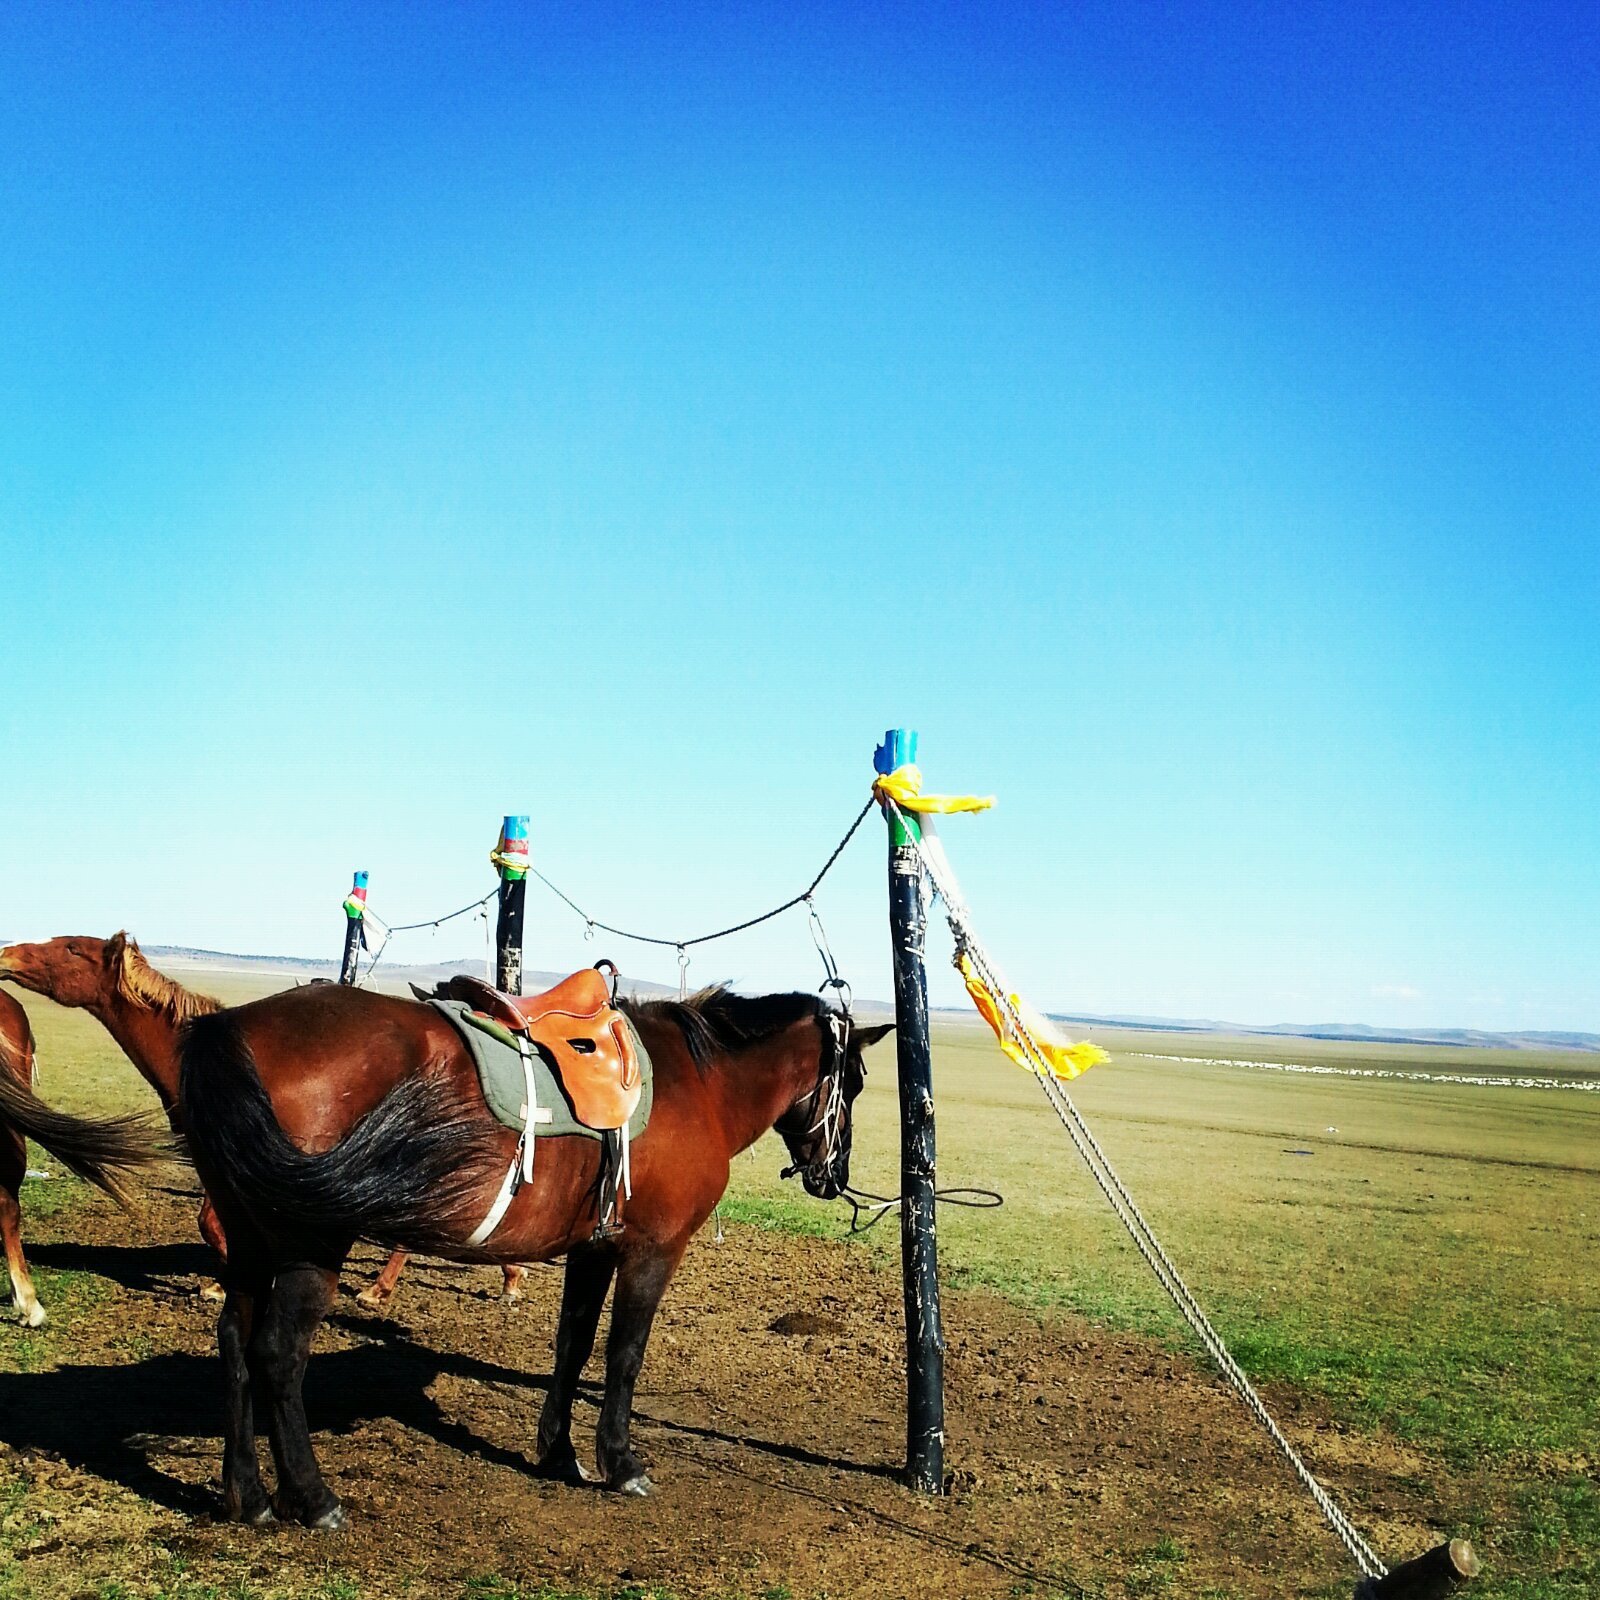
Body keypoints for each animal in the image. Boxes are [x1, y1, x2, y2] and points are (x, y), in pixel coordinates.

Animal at [173, 960, 889, 1523]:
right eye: (852, 1084)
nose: (834, 1176)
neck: (699, 1083)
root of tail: (231, 1028)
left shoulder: (594, 1248)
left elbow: (573, 1346)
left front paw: (560, 1452)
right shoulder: (652, 1251)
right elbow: (624, 1356)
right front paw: (620, 1463)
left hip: (250, 1235)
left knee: (235, 1341)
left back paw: (248, 1497)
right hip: (310, 1242)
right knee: (277, 1353)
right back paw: (313, 1499)